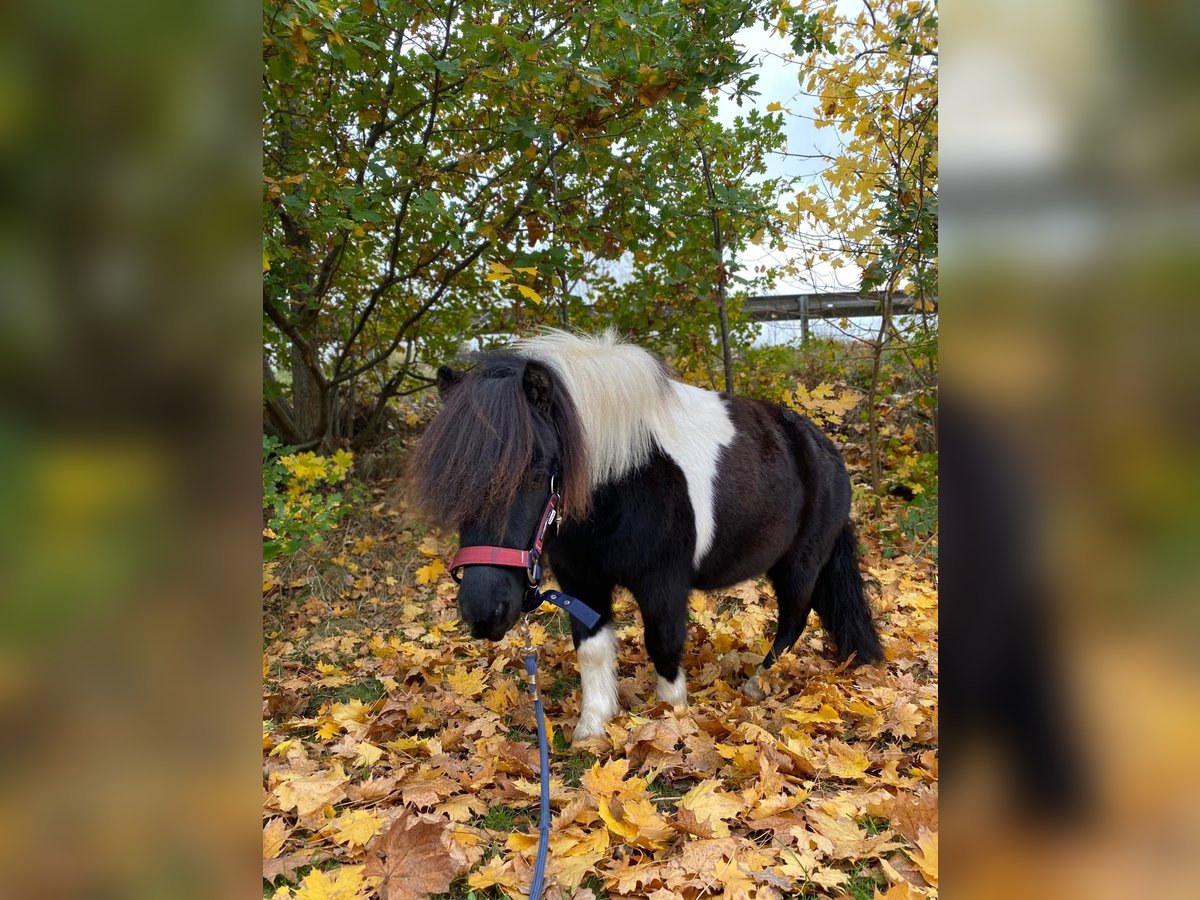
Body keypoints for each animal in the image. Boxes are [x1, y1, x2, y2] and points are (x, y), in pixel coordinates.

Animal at [410, 336, 883, 744]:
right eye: (453, 483)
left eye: (535, 472)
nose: (484, 611)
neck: (622, 479)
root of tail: (822, 448)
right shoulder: (581, 582)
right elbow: (592, 649)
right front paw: (593, 725)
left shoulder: (663, 582)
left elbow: (664, 642)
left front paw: (672, 715)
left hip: (800, 564)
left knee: (793, 622)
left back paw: (755, 684)